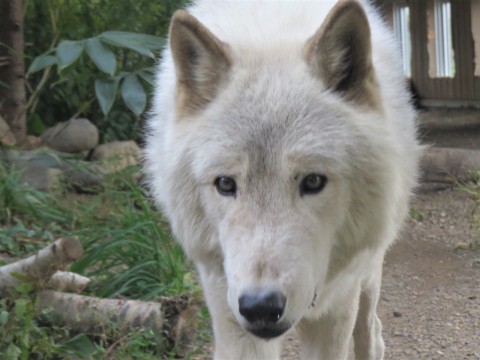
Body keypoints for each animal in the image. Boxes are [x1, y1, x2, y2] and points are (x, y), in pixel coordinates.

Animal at [145, 1, 420, 358]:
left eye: (313, 182)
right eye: (225, 184)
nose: (260, 306)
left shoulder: (336, 310)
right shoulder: (228, 308)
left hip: (367, 272)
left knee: (371, 330)